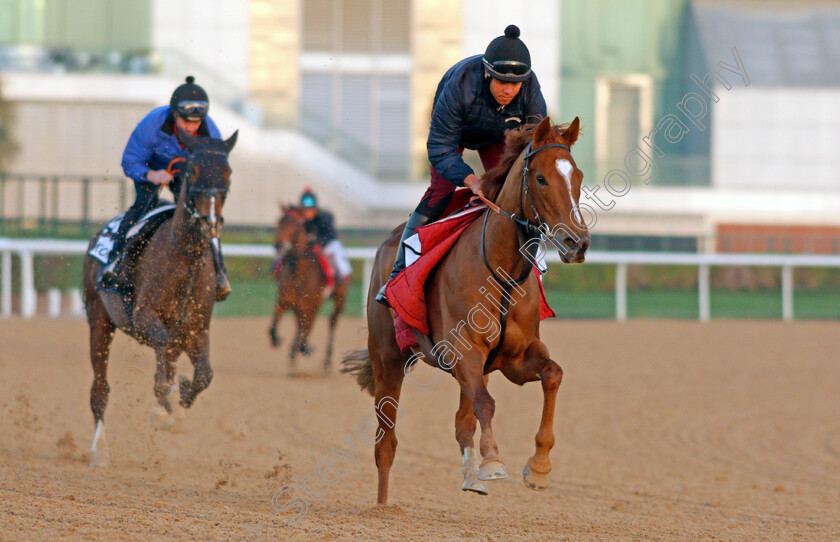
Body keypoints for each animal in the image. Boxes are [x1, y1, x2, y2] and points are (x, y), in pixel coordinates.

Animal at [82, 131, 238, 468]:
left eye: (228, 173)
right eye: (193, 170)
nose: (210, 222)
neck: (183, 259)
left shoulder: (196, 329)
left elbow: (204, 375)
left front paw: (180, 396)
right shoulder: (144, 319)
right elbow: (161, 367)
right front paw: (165, 406)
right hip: (99, 320)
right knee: (100, 388)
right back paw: (100, 451)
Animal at [270, 207, 348, 374]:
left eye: (294, 224)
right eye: (279, 221)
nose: (279, 244)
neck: (299, 273)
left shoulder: (310, 305)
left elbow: (306, 328)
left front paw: (304, 348)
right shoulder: (284, 301)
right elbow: (273, 327)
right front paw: (278, 340)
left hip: (339, 299)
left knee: (331, 322)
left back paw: (326, 360)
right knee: (301, 325)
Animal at [342, 117, 592, 504]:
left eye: (577, 176)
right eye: (541, 178)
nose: (577, 243)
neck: (502, 271)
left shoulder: (514, 358)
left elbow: (553, 374)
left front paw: (538, 468)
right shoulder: (464, 352)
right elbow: (486, 404)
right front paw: (493, 462)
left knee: (462, 422)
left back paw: (471, 476)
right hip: (388, 358)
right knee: (386, 442)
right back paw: (382, 506)